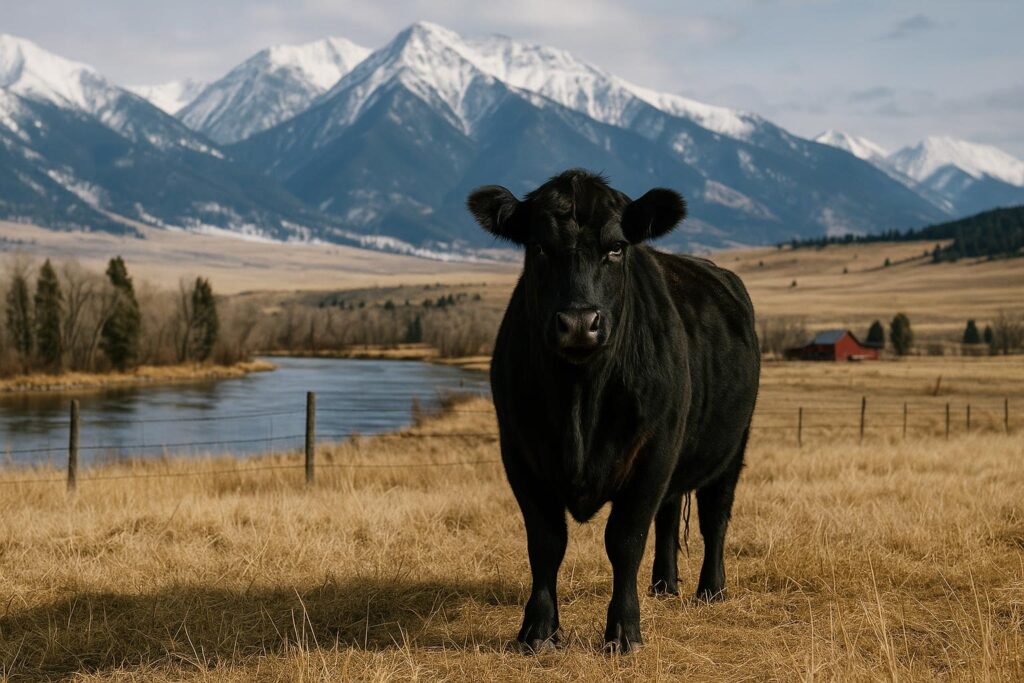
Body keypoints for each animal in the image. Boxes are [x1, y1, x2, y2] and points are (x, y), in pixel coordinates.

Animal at [466, 169, 760, 653]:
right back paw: (664, 585)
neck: (579, 402)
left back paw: (711, 589)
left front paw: (624, 632)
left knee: (714, 515)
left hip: (732, 446)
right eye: (539, 246)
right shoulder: (520, 453)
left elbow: (624, 539)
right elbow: (546, 542)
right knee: (669, 514)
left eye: (617, 247)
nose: (578, 323)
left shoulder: (653, 452)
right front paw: (538, 630)